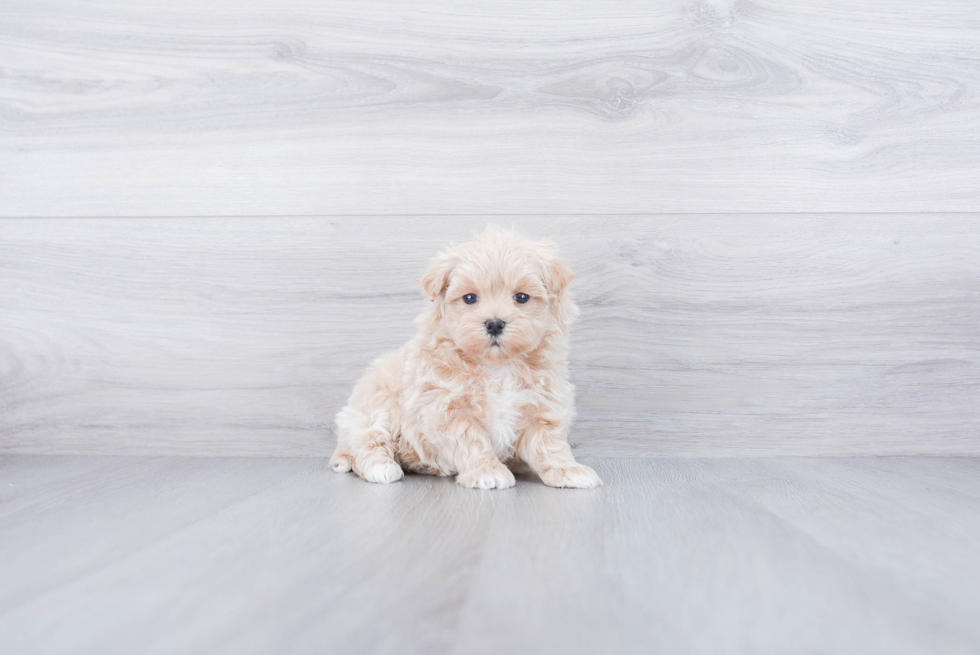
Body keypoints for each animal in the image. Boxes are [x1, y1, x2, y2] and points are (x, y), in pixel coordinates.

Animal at [334, 228, 600, 490]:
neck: (498, 365)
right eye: (470, 298)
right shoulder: (447, 408)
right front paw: (487, 472)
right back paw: (381, 467)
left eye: (522, 297)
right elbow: (472, 440)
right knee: (368, 441)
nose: (495, 323)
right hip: (374, 409)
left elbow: (550, 445)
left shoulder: (542, 408)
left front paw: (567, 470)